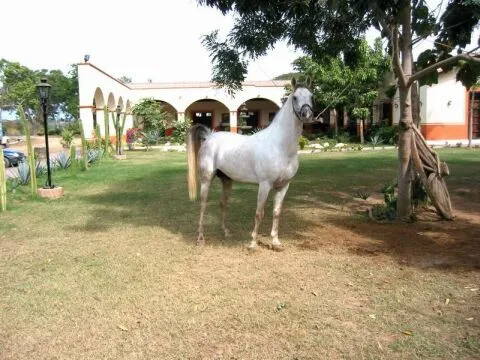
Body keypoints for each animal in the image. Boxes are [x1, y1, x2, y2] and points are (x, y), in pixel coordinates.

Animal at [186, 77, 314, 249]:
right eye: (295, 97)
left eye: (311, 96)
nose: (307, 114)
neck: (280, 146)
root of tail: (209, 136)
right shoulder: (265, 185)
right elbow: (259, 213)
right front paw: (253, 243)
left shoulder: (284, 186)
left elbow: (276, 212)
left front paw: (275, 242)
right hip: (206, 180)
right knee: (203, 205)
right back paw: (200, 238)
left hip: (227, 180)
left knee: (223, 203)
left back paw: (226, 231)